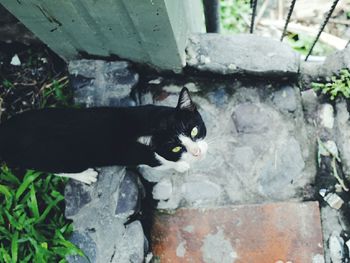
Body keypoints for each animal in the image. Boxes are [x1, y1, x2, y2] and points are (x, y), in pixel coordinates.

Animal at [0, 87, 208, 185]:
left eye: (194, 131)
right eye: (176, 148)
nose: (197, 152)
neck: (153, 121)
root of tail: (7, 132)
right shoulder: (146, 157)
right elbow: (164, 163)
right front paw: (182, 165)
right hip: (54, 159)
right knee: (56, 169)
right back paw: (86, 175)